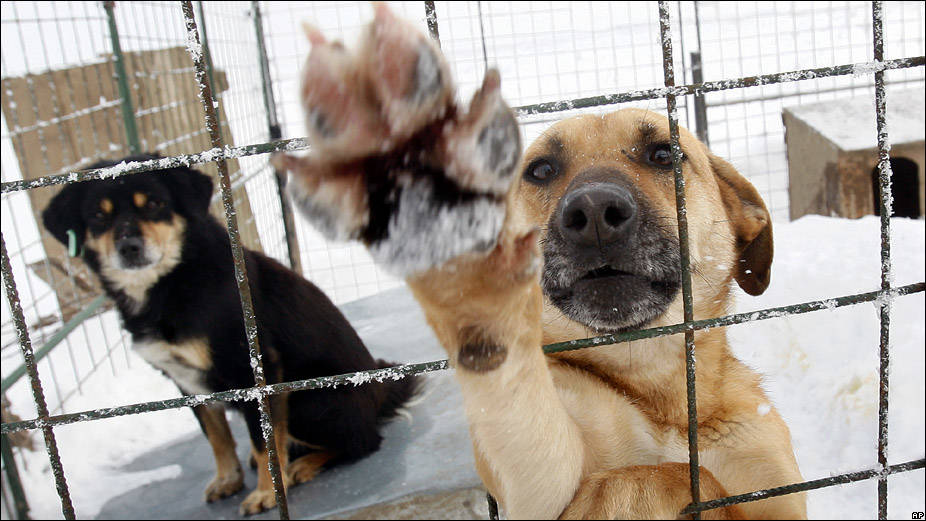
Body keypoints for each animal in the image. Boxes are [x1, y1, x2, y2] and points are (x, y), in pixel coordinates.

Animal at [42, 156, 420, 512]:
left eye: (154, 203)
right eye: (97, 215)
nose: (129, 247)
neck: (172, 284)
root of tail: (380, 394)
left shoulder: (255, 369)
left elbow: (264, 440)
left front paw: (268, 493)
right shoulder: (186, 382)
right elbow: (217, 438)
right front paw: (227, 480)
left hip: (308, 402)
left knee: (364, 441)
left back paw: (303, 465)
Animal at [274, 4, 804, 516]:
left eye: (663, 154)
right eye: (542, 169)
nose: (594, 213)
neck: (656, 392)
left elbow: (694, 477)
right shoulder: (537, 482)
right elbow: (651, 471)